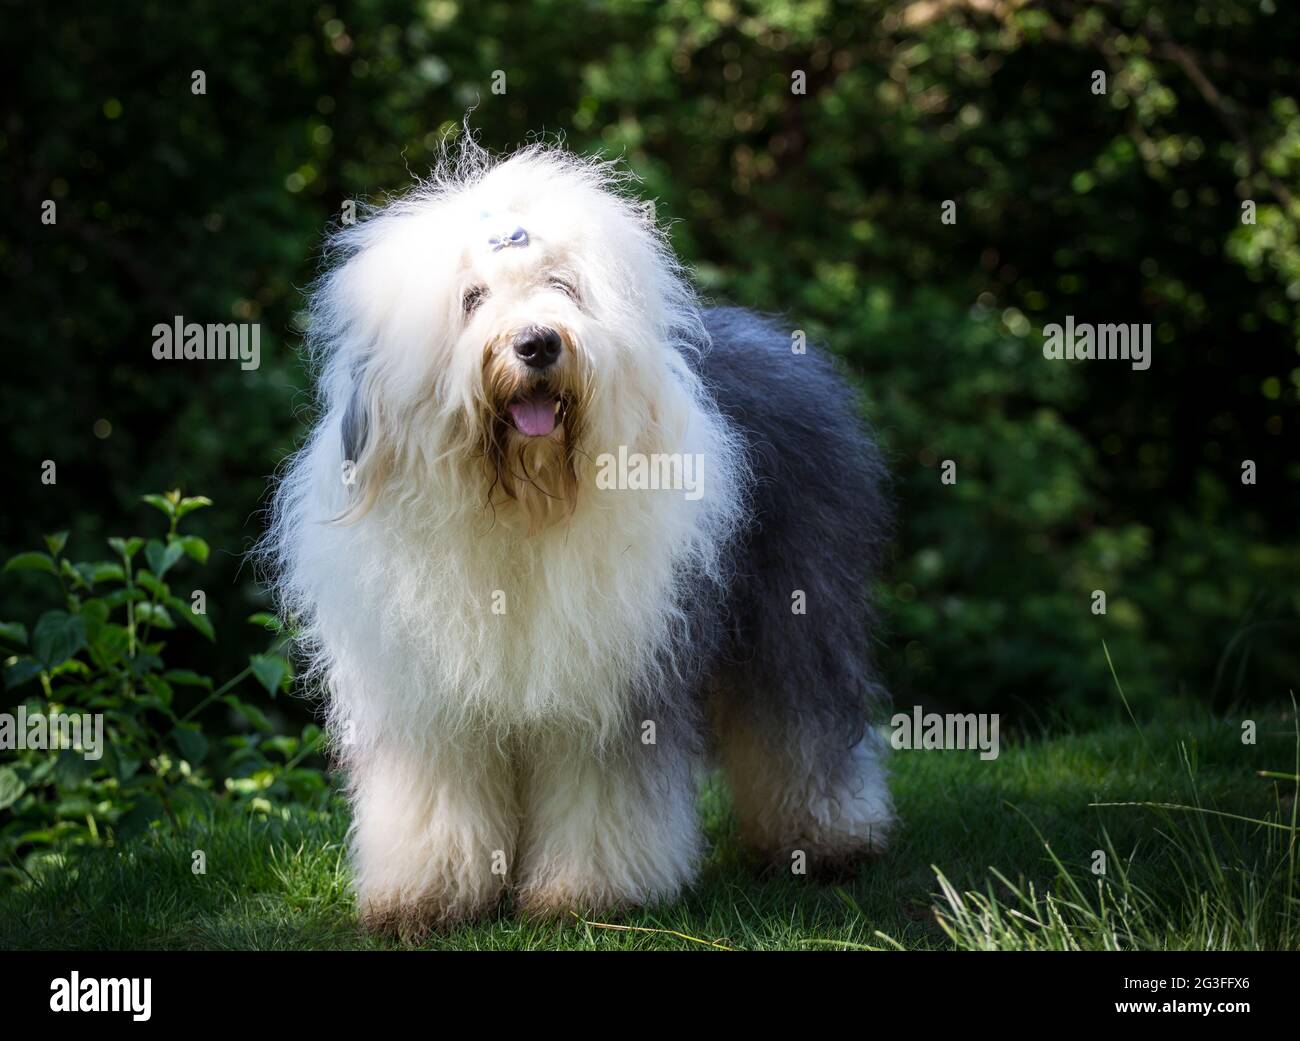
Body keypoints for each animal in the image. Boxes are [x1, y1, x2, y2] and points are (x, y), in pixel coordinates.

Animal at [263, 140, 894, 935]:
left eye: (562, 286)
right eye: (472, 298)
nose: (536, 343)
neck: (521, 504)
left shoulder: (608, 685)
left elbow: (601, 788)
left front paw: (586, 894)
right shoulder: (427, 697)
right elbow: (435, 793)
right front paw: (426, 896)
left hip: (796, 603)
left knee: (802, 723)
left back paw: (828, 840)